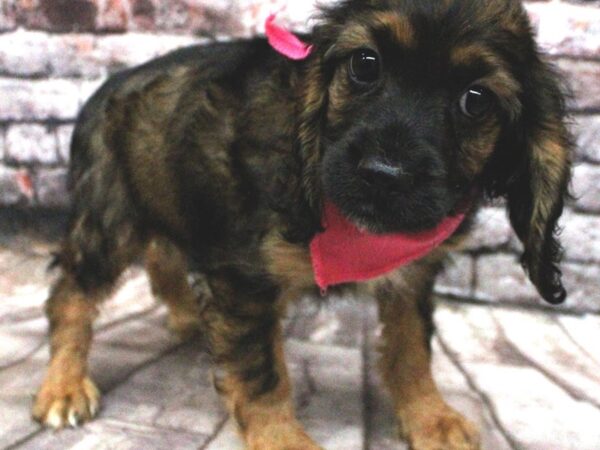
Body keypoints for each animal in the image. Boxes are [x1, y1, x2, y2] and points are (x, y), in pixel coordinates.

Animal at [31, 0, 572, 448]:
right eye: (365, 65)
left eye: (475, 100)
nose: (384, 174)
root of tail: (105, 86)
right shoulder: (244, 276)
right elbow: (262, 372)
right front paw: (282, 439)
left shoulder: (412, 272)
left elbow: (411, 347)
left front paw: (429, 416)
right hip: (110, 217)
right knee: (70, 294)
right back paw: (63, 385)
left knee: (162, 257)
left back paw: (185, 316)